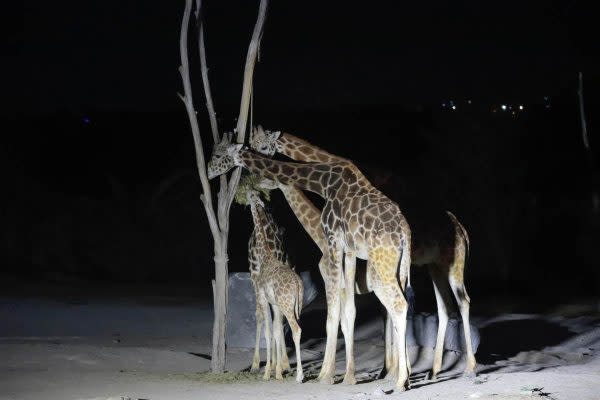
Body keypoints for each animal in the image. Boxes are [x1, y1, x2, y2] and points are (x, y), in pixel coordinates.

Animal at [245, 189, 304, 382]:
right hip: (294, 306)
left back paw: (299, 375)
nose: (247, 193)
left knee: (296, 329)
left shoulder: (265, 298)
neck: (265, 256)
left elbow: (269, 331)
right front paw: (276, 370)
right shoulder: (275, 302)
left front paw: (268, 372)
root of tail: (298, 284)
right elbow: (276, 330)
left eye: (253, 195)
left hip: (285, 304)